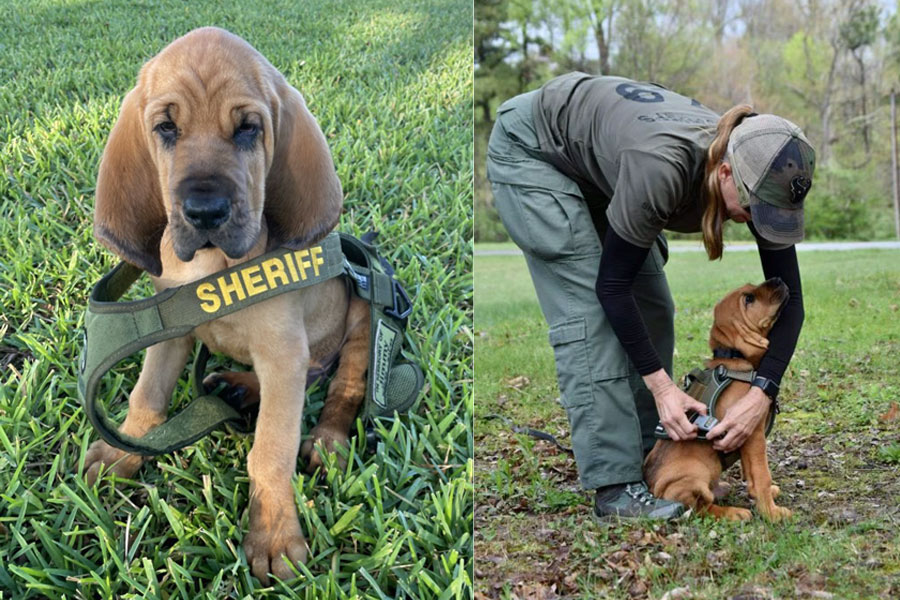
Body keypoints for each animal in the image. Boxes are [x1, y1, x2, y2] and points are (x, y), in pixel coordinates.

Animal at [81, 25, 370, 584]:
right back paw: (237, 386)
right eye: (166, 128)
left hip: (364, 314)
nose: (205, 210)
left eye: (248, 130)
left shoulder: (283, 351)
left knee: (342, 386)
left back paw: (327, 439)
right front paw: (120, 450)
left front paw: (274, 535)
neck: (215, 270)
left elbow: (271, 450)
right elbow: (146, 398)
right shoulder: (169, 328)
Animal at [644, 280, 792, 520]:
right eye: (749, 299)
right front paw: (771, 512)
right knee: (698, 507)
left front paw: (764, 496)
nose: (778, 279)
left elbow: (751, 474)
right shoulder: (753, 434)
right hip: (696, 473)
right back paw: (733, 513)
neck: (736, 361)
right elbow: (762, 474)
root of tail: (654, 492)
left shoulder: (744, 437)